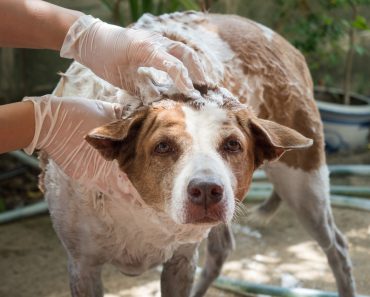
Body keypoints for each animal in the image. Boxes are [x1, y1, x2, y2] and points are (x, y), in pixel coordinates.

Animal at [41, 11, 356, 296]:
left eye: (233, 144)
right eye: (163, 146)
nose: (206, 190)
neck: (144, 208)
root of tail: (281, 41)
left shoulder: (181, 260)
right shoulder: (83, 266)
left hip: (303, 185)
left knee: (338, 248)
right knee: (222, 249)